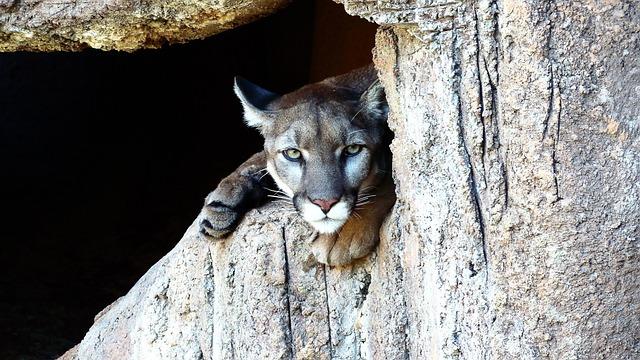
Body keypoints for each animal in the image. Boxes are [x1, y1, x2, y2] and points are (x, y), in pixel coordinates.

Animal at [198, 66, 396, 266]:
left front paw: (341, 236)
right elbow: (259, 157)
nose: (325, 203)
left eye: (353, 149)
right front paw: (222, 200)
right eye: (293, 153)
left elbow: (393, 181)